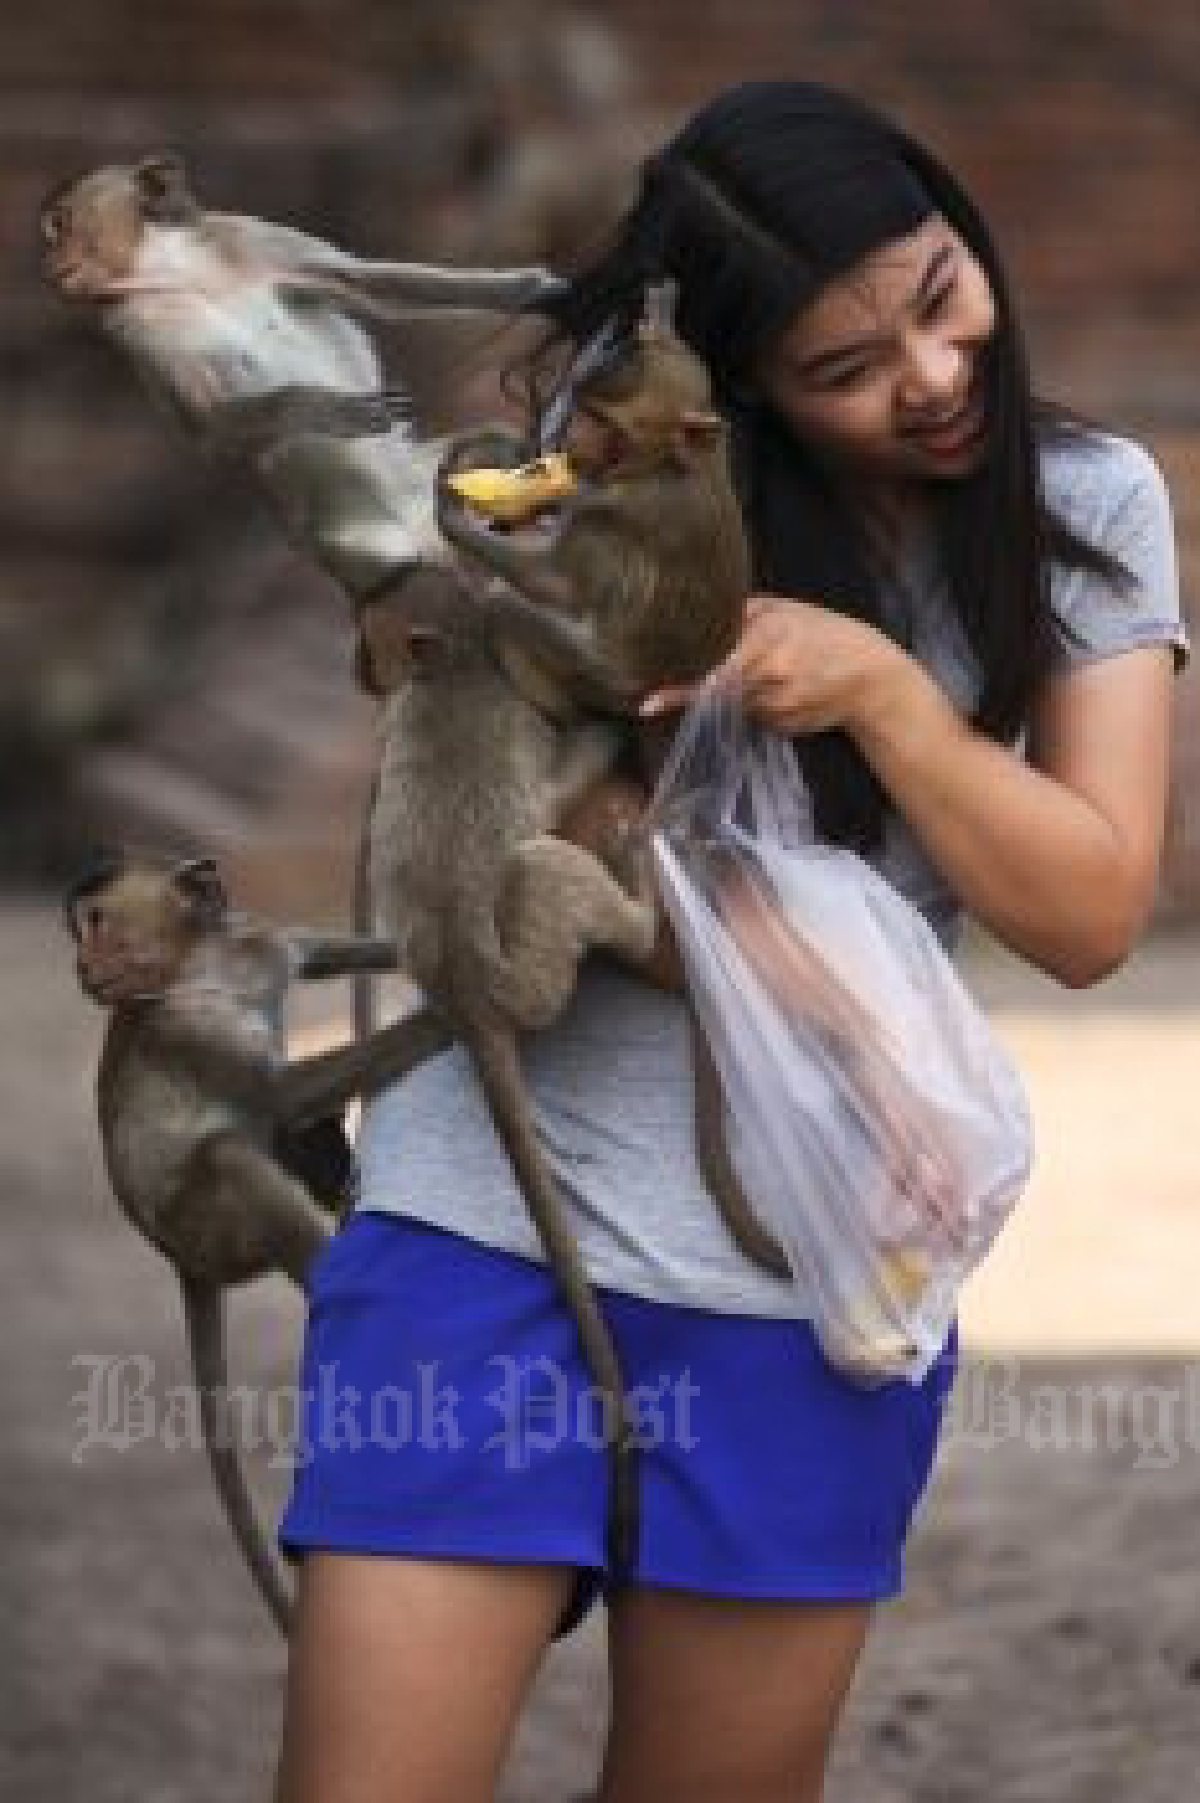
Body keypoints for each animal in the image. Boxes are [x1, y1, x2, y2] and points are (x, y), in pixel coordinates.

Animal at [40, 152, 566, 599]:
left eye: (59, 224)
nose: (49, 265)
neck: (179, 275)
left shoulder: (254, 241)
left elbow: (365, 284)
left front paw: (537, 294)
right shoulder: (133, 330)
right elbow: (208, 432)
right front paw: (331, 408)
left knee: (487, 454)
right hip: (355, 546)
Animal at [65, 847, 454, 1632]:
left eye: (96, 923)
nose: (82, 963)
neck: (200, 960)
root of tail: (177, 1260)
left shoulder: (262, 942)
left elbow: (329, 953)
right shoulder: (180, 1026)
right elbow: (278, 1093)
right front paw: (441, 1019)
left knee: (285, 1134)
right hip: (210, 1226)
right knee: (230, 1153)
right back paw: (333, 1270)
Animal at [358, 565, 661, 1569]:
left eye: (369, 637)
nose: (360, 670)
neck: (452, 667)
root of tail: (470, 994)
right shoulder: (504, 699)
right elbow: (555, 787)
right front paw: (606, 727)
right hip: (532, 965)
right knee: (542, 860)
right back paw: (641, 909)